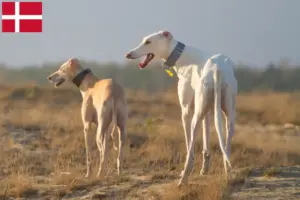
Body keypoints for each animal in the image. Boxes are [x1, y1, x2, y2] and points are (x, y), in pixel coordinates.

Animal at [125, 30, 238, 186]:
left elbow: (188, 141)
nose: (128, 54)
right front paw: (205, 169)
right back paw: (229, 174)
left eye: (148, 42)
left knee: (191, 145)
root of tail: (217, 69)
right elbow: (206, 139)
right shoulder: (208, 111)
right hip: (228, 113)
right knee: (226, 145)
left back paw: (183, 178)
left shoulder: (185, 110)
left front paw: (192, 168)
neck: (182, 57)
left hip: (196, 116)